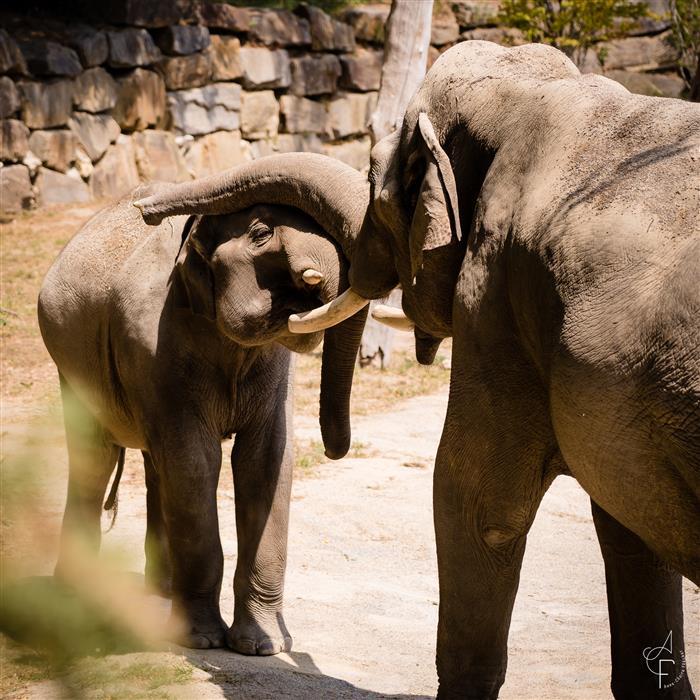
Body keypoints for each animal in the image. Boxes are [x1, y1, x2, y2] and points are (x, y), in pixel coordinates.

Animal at [38, 153, 370, 653]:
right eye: (260, 234)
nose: (336, 449)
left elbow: (266, 461)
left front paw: (265, 646)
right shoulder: (154, 345)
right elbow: (197, 460)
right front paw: (202, 642)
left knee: (155, 465)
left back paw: (161, 590)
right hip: (69, 361)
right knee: (96, 459)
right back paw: (75, 592)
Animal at [150, 42, 700, 696]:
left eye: (371, 176)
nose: (145, 209)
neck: (541, 93)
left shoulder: (496, 294)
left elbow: (478, 500)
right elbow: (625, 526)